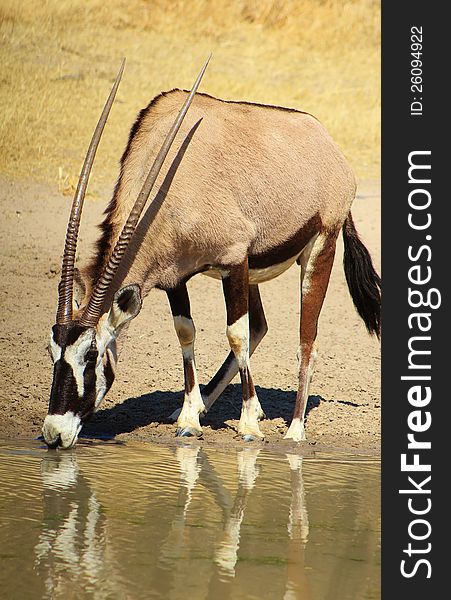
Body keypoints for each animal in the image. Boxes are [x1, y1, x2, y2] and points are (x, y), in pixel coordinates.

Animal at [42, 57, 382, 450]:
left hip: (317, 250)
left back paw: (295, 429)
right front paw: (190, 418)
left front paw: (248, 425)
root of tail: (330, 147)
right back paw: (209, 405)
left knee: (305, 341)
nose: (53, 433)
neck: (169, 183)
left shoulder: (234, 261)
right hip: (254, 271)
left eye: (91, 355)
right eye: (52, 352)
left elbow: (237, 336)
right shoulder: (175, 277)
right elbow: (185, 332)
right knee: (261, 325)